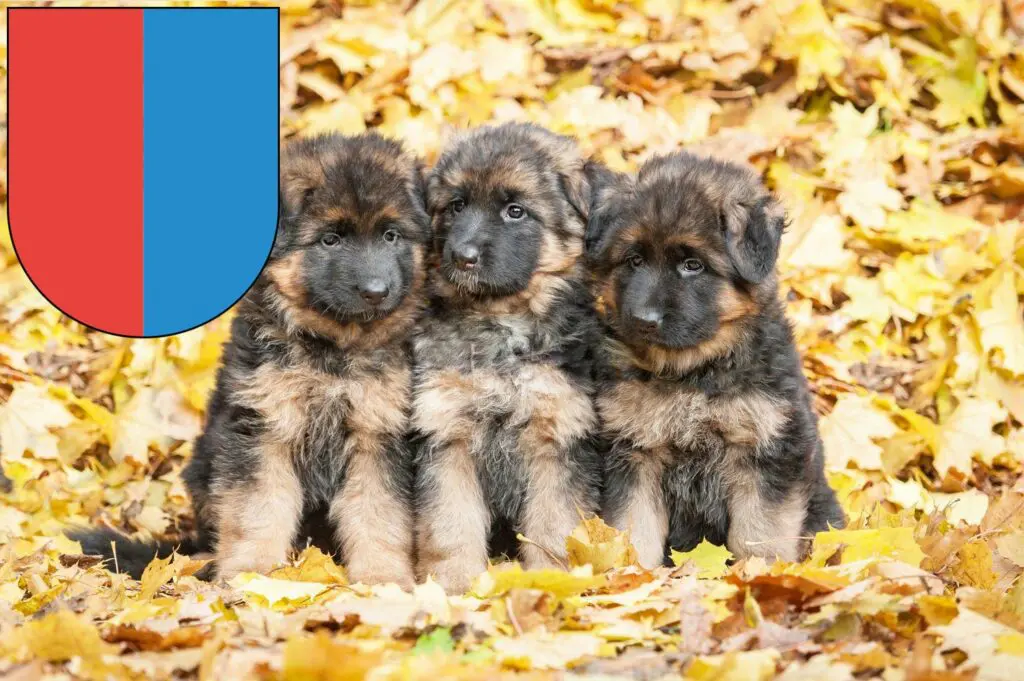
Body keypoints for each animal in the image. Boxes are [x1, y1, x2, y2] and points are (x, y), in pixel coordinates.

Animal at [69, 134, 428, 585]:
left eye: (391, 235)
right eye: (330, 239)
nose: (377, 292)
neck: (332, 350)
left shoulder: (377, 433)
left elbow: (378, 512)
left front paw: (382, 579)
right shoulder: (263, 428)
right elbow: (258, 507)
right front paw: (251, 573)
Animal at [413, 124, 606, 593]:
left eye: (515, 211)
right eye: (456, 205)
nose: (462, 257)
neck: (500, 323)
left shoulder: (559, 436)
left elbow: (554, 525)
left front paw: (553, 579)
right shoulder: (447, 433)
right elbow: (450, 522)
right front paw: (454, 585)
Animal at [589, 151, 843, 565]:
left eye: (693, 265)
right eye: (634, 260)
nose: (643, 320)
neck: (693, 373)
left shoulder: (769, 449)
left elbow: (761, 534)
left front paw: (761, 573)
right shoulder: (633, 451)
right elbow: (634, 529)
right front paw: (633, 573)